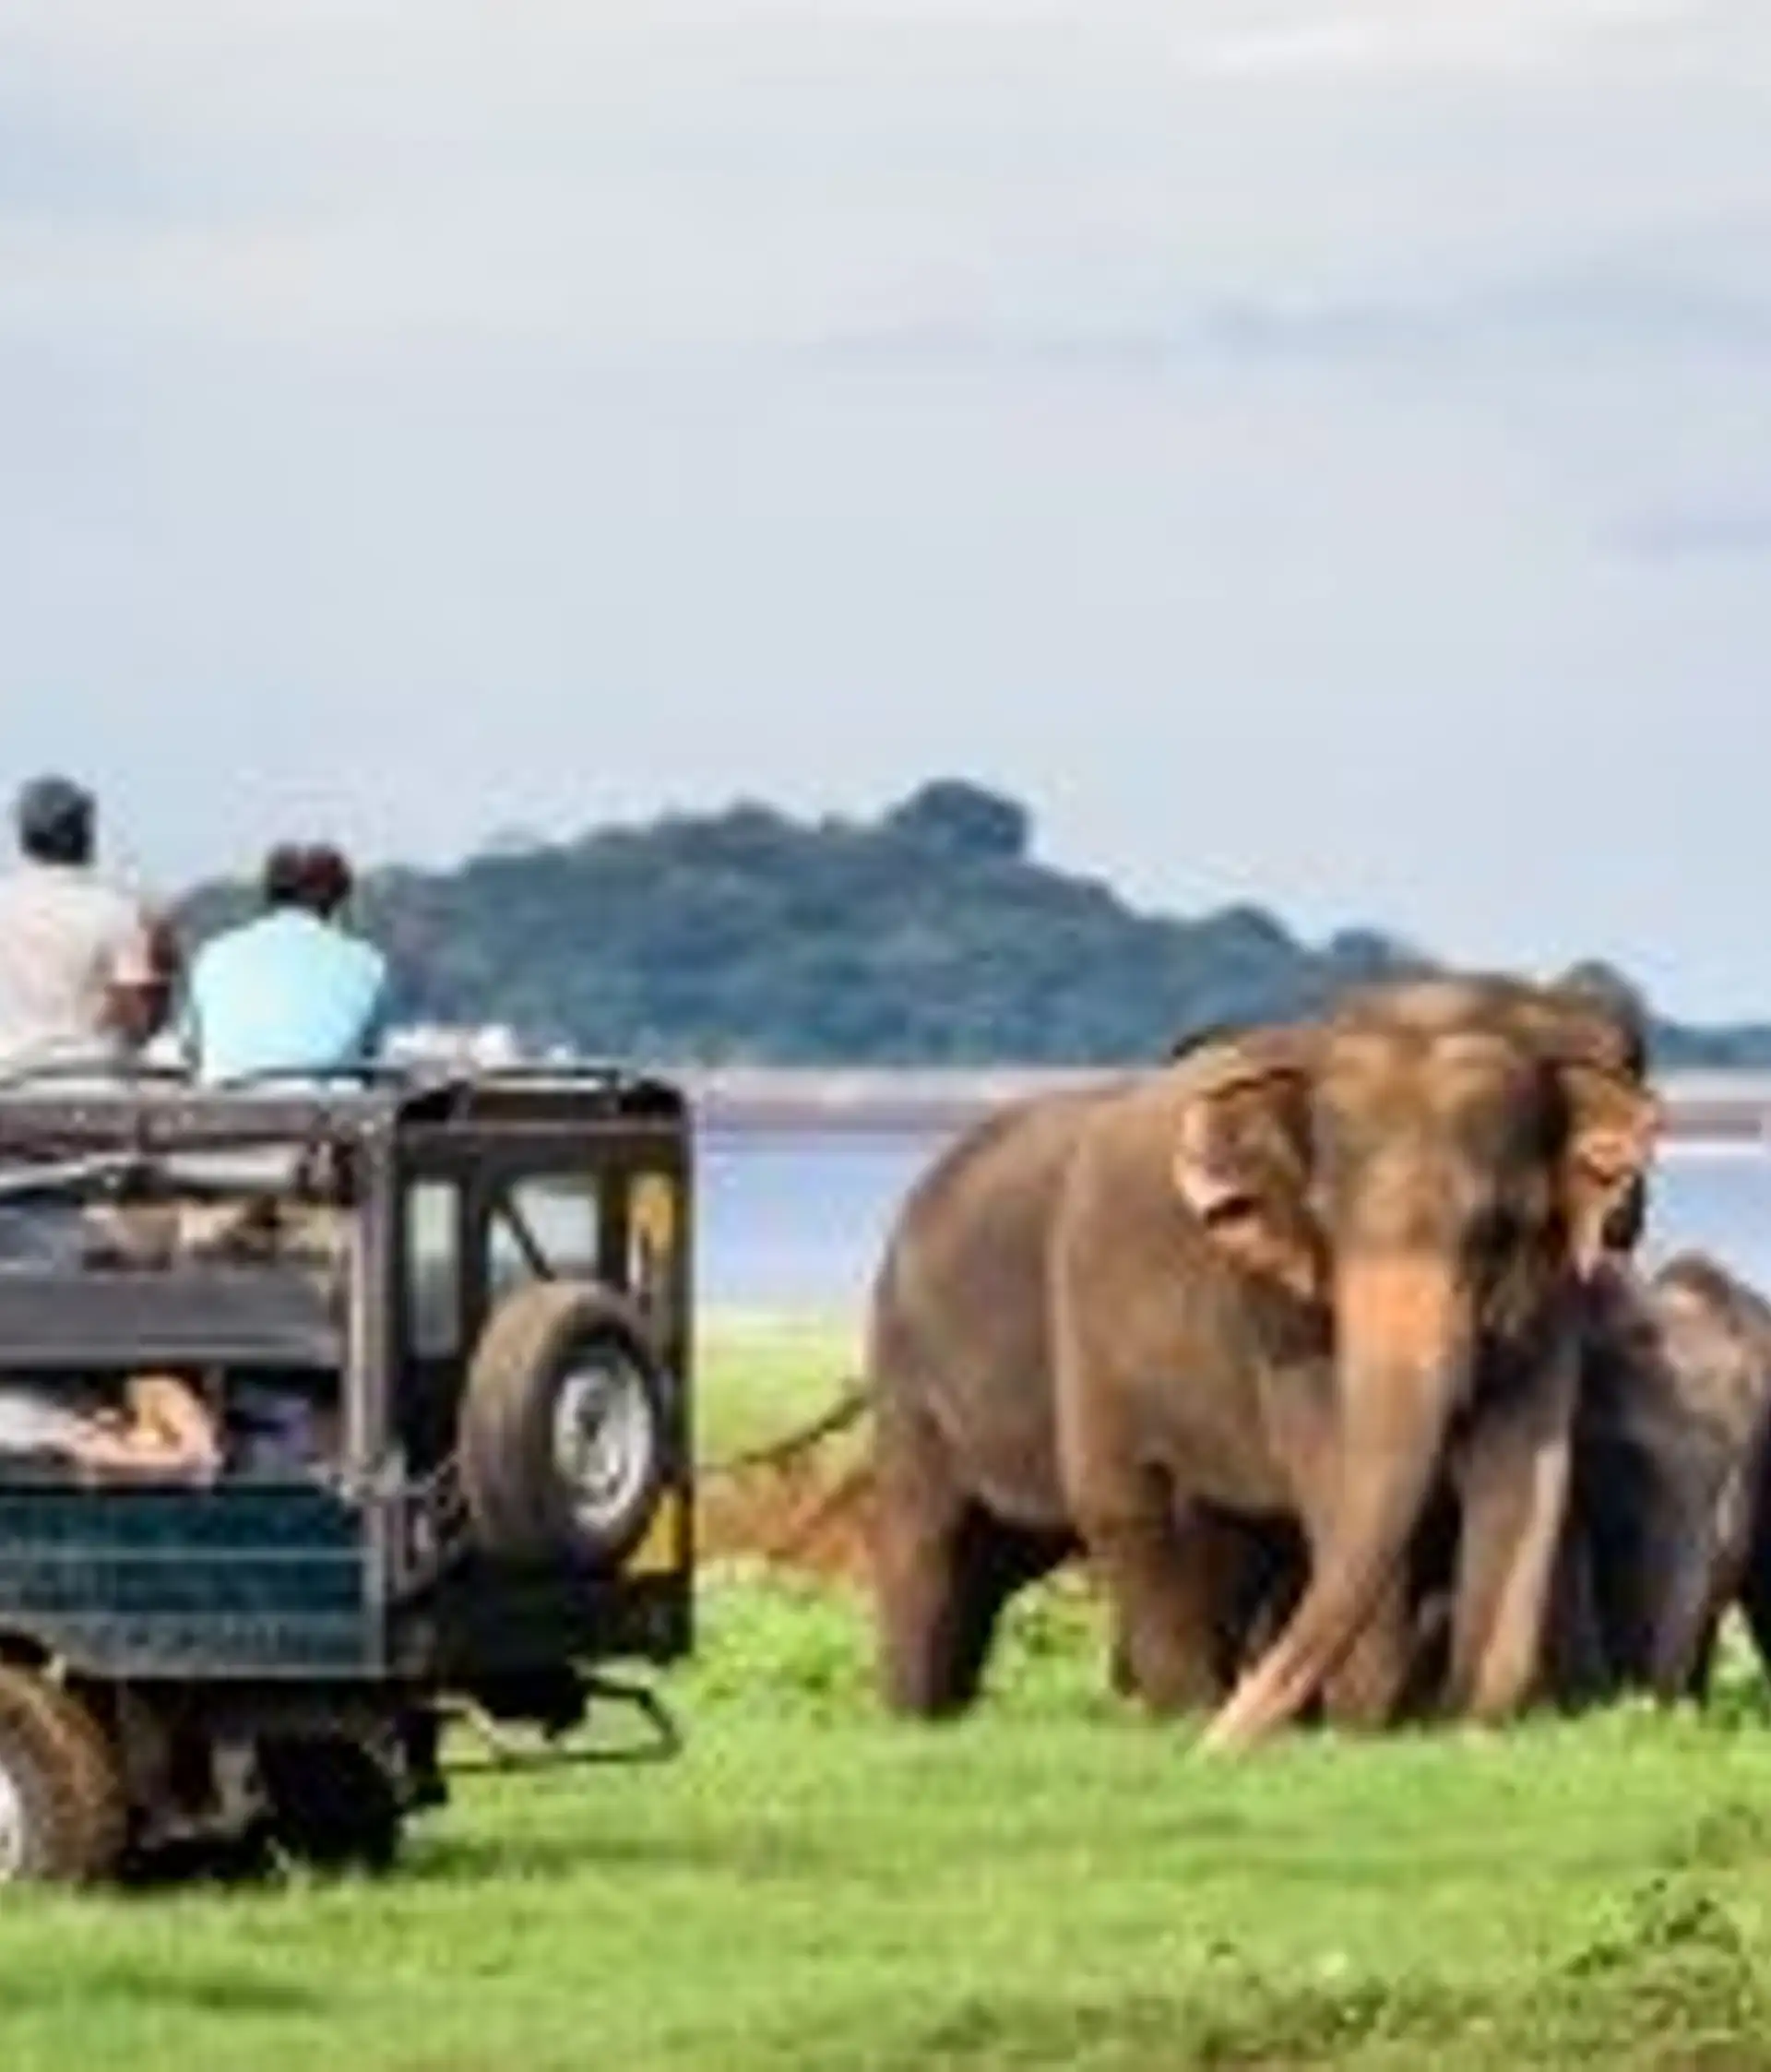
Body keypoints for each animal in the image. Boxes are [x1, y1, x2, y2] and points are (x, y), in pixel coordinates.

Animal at [865, 974, 1655, 1750]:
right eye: (1324, 1224)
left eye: (1499, 1230)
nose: (1224, 1745)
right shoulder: (1276, 1309)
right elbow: (1333, 1471)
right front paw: (1367, 1728)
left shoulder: (1552, 1294)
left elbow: (1525, 1473)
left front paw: (1467, 1724)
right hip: (970, 1349)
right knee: (1039, 1515)